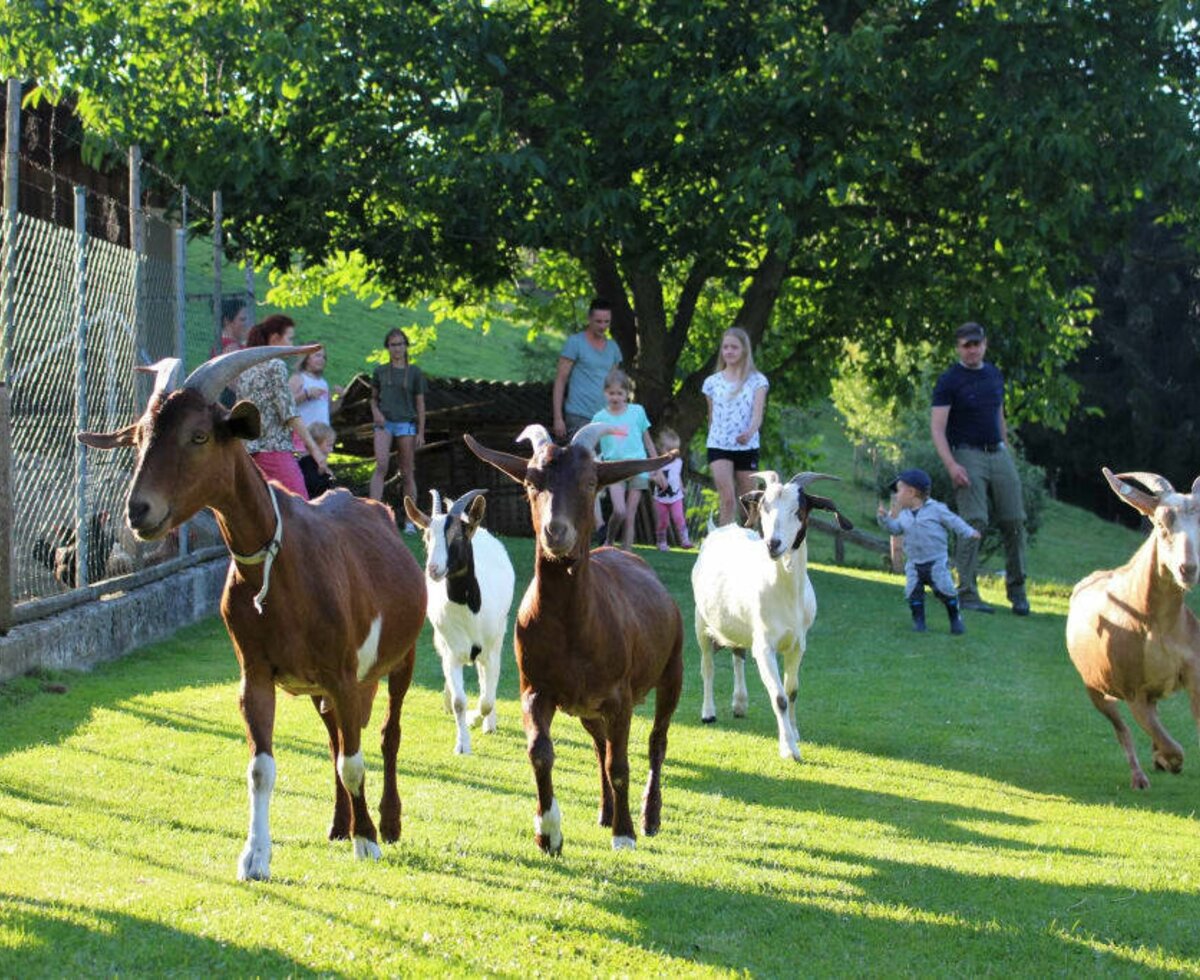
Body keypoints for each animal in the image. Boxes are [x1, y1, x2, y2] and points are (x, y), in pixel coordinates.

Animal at [79, 350, 427, 878]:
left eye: (199, 435)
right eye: (138, 437)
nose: (139, 511)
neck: (275, 566)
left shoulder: (344, 673)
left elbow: (354, 761)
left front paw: (367, 840)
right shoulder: (257, 674)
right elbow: (263, 767)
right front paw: (255, 857)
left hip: (399, 658)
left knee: (387, 735)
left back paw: (386, 822)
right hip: (319, 688)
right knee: (335, 739)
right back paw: (338, 822)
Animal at [465, 424, 681, 854]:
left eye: (590, 482)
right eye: (531, 482)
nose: (556, 531)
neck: (573, 629)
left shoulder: (619, 696)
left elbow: (620, 764)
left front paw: (625, 835)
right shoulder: (535, 688)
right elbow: (540, 753)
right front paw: (548, 832)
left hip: (673, 668)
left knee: (656, 741)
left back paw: (649, 817)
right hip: (586, 707)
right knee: (600, 745)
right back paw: (605, 812)